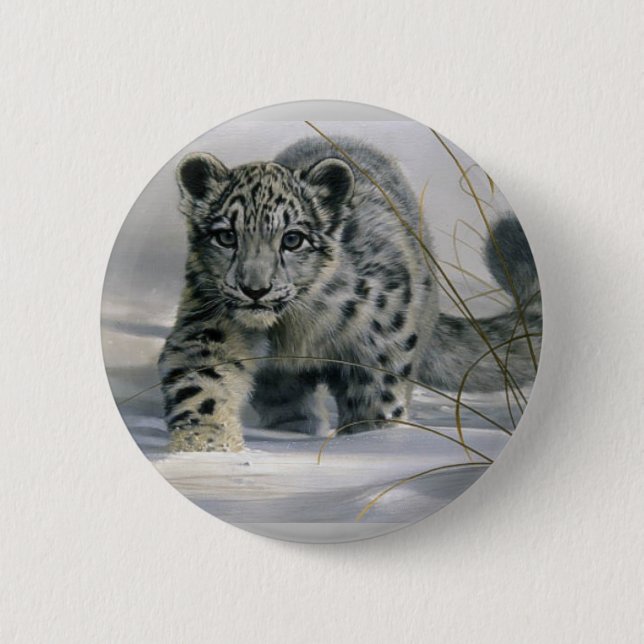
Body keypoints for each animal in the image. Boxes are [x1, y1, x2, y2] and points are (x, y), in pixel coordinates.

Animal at [158, 136, 541, 452]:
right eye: (226, 236)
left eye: (292, 239)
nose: (255, 289)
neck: (294, 330)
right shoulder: (210, 324)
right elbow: (201, 383)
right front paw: (205, 446)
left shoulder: (381, 346)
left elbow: (377, 401)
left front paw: (370, 441)